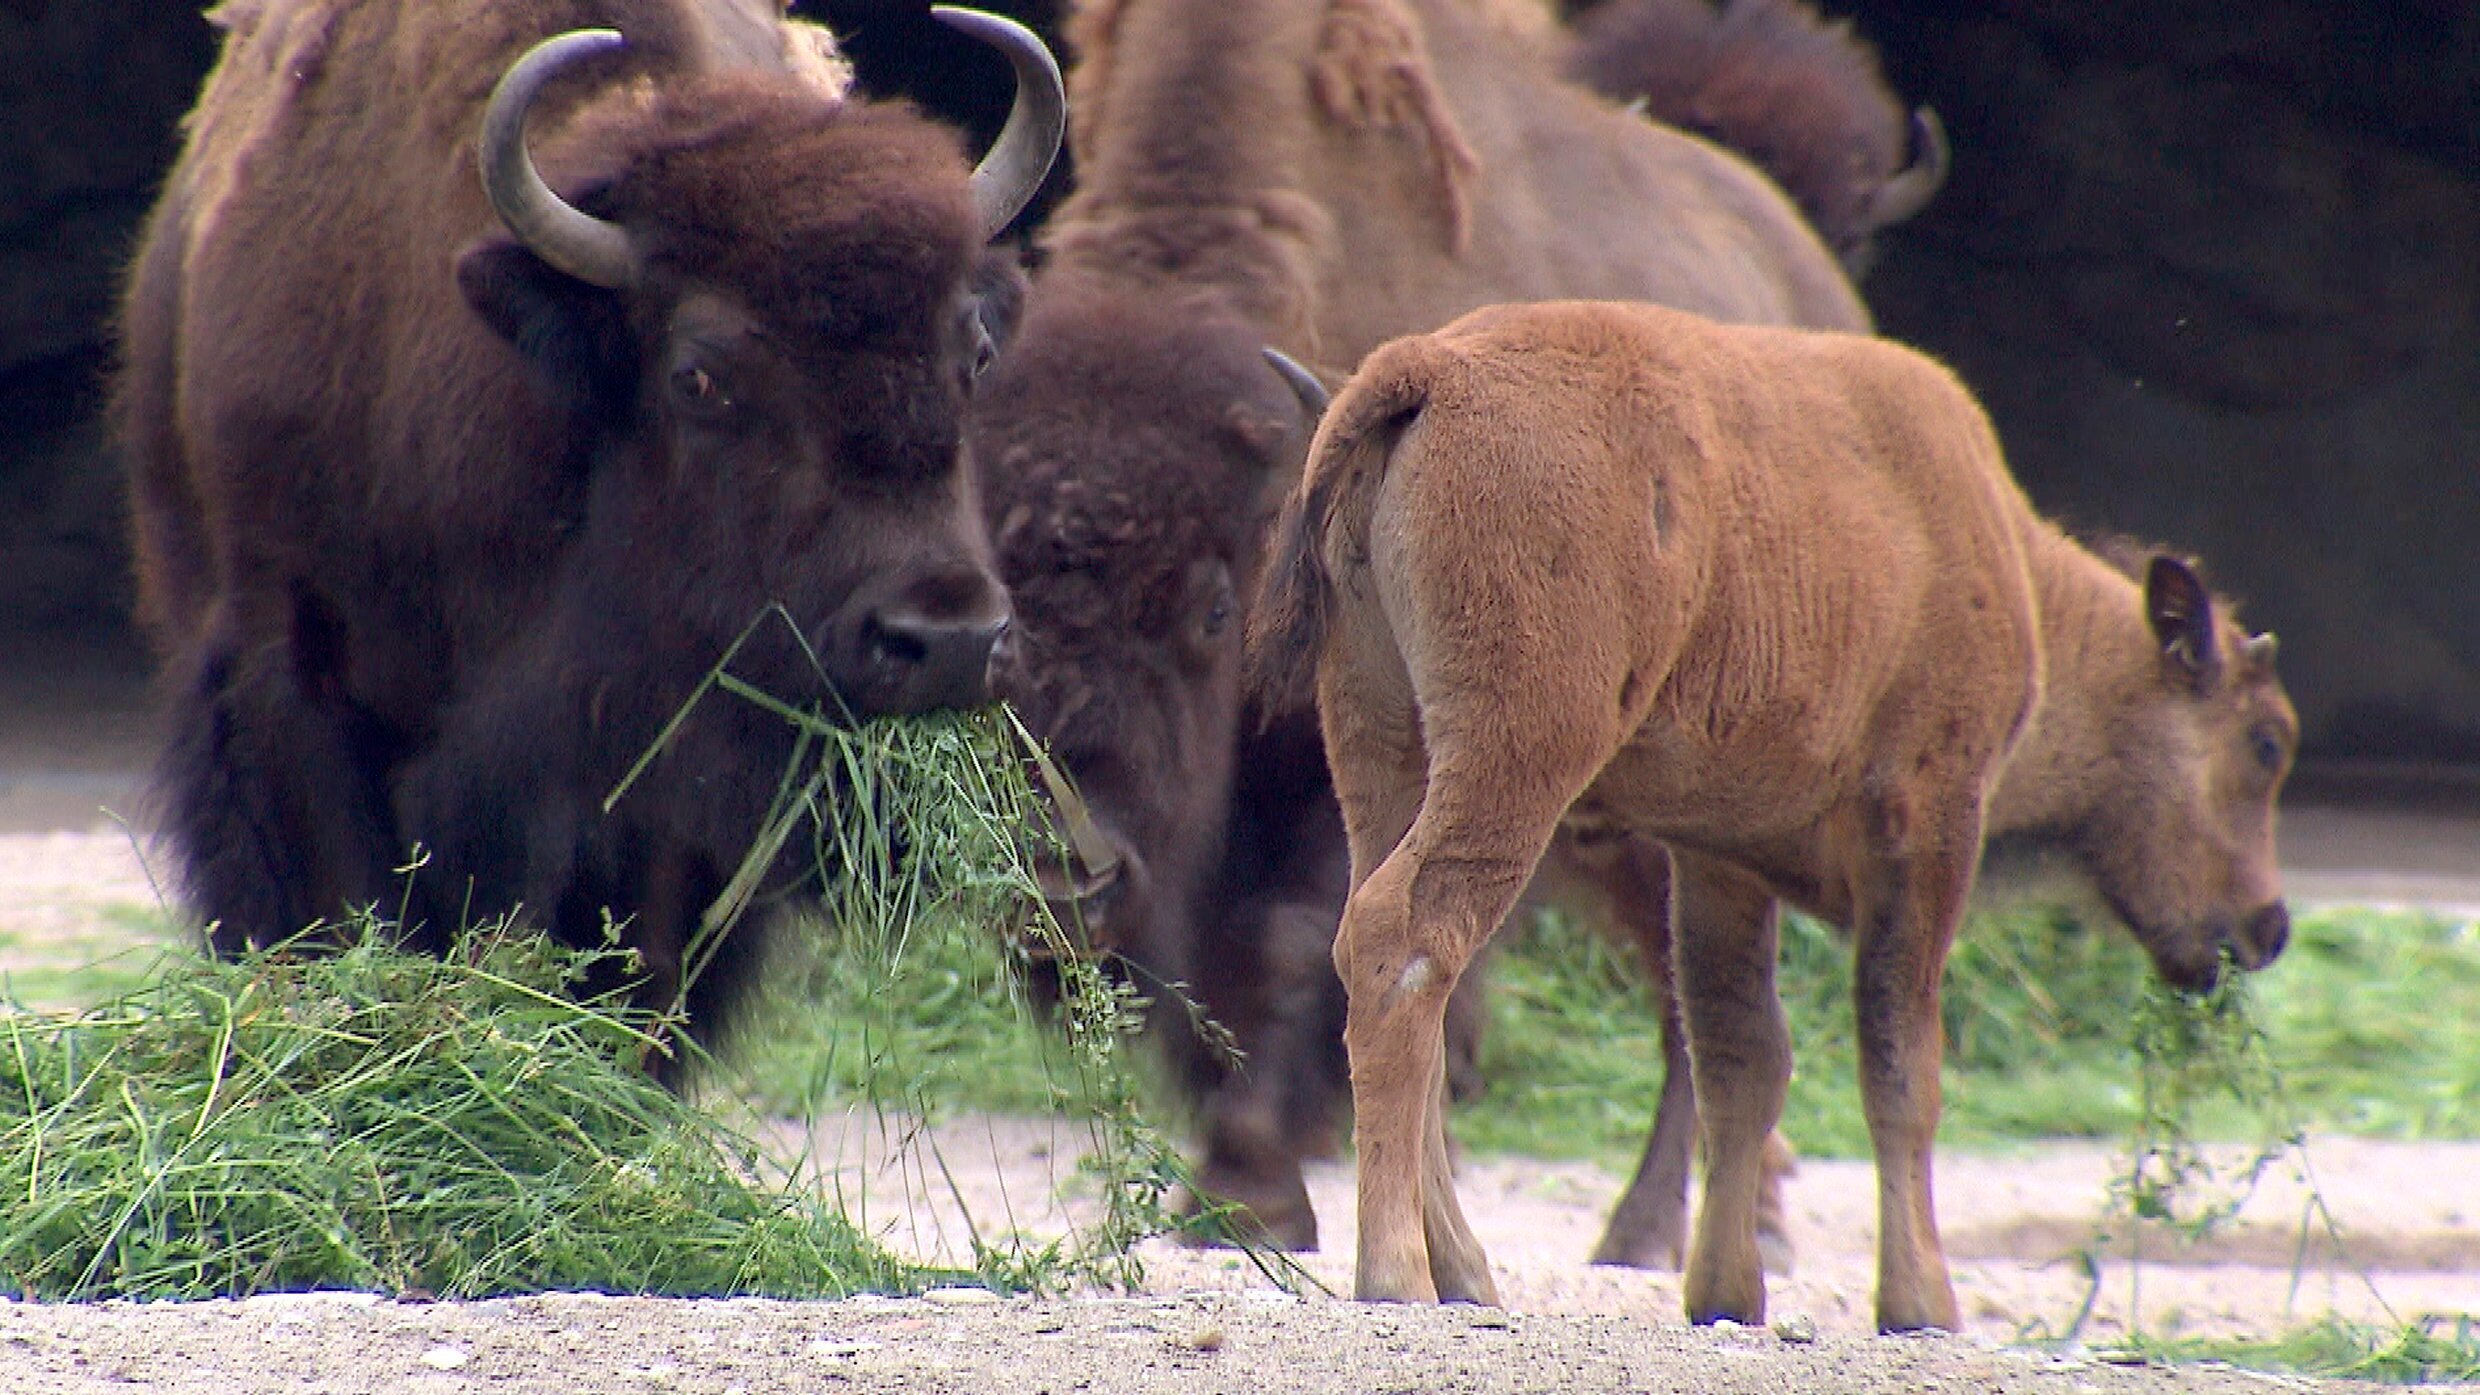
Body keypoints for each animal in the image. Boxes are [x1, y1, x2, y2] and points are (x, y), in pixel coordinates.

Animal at [1249, 295, 2291, 1320]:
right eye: (2267, 742)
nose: (2268, 926)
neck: (2010, 569)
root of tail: (1424, 369)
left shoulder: (1719, 858)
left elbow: (1739, 1057)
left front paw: (1725, 1291)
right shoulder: (1927, 824)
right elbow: (1901, 1062)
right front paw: (1920, 1300)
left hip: (1383, 748)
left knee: (1388, 962)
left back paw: (1465, 1270)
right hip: (1515, 760)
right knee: (1407, 940)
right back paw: (1398, 1272)